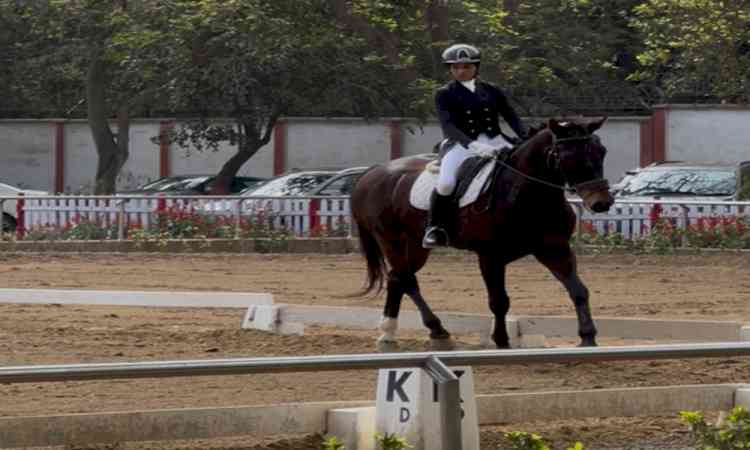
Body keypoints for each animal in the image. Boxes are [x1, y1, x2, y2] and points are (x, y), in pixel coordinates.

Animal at [350, 117, 614, 350]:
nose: (602, 202)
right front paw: (501, 340)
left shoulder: (554, 249)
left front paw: (588, 337)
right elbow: (499, 301)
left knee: (397, 278)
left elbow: (579, 290)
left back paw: (389, 334)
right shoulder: (490, 256)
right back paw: (437, 330)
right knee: (406, 279)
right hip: (389, 239)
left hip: (415, 244)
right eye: (569, 156)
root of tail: (373, 171)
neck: (526, 194)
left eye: (601, 151)